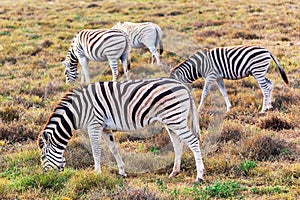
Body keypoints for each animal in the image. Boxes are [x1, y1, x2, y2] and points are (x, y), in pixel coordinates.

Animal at [37, 77, 205, 183]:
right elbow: (114, 149)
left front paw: (97, 174)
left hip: (175, 118)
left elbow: (96, 151)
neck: (78, 111)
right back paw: (174, 172)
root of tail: (183, 85)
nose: (46, 177)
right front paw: (122, 172)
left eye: (43, 157)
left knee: (193, 141)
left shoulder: (94, 125)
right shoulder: (106, 128)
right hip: (171, 121)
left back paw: (199, 176)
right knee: (178, 144)